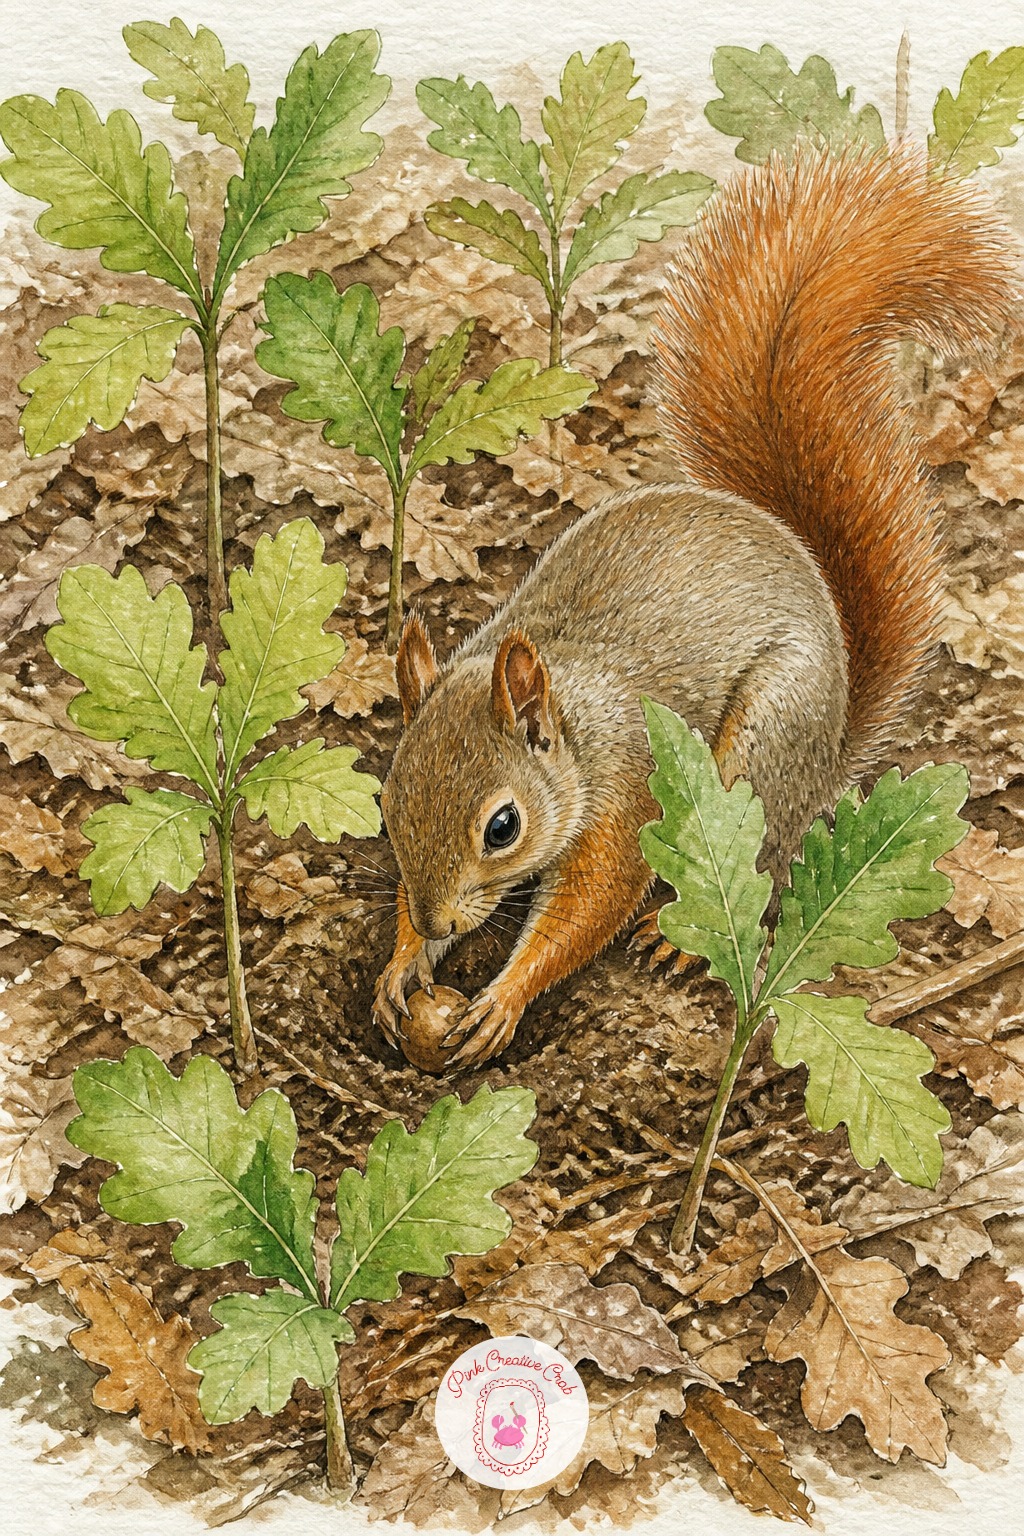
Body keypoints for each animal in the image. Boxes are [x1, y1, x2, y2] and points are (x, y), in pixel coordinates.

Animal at [373, 147, 1016, 1069]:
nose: (432, 920)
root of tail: (831, 747)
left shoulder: (626, 791)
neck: (571, 722)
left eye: (502, 827)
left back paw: (680, 940)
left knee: (762, 862)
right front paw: (400, 964)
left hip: (763, 749)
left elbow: (593, 901)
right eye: (386, 804)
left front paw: (506, 993)